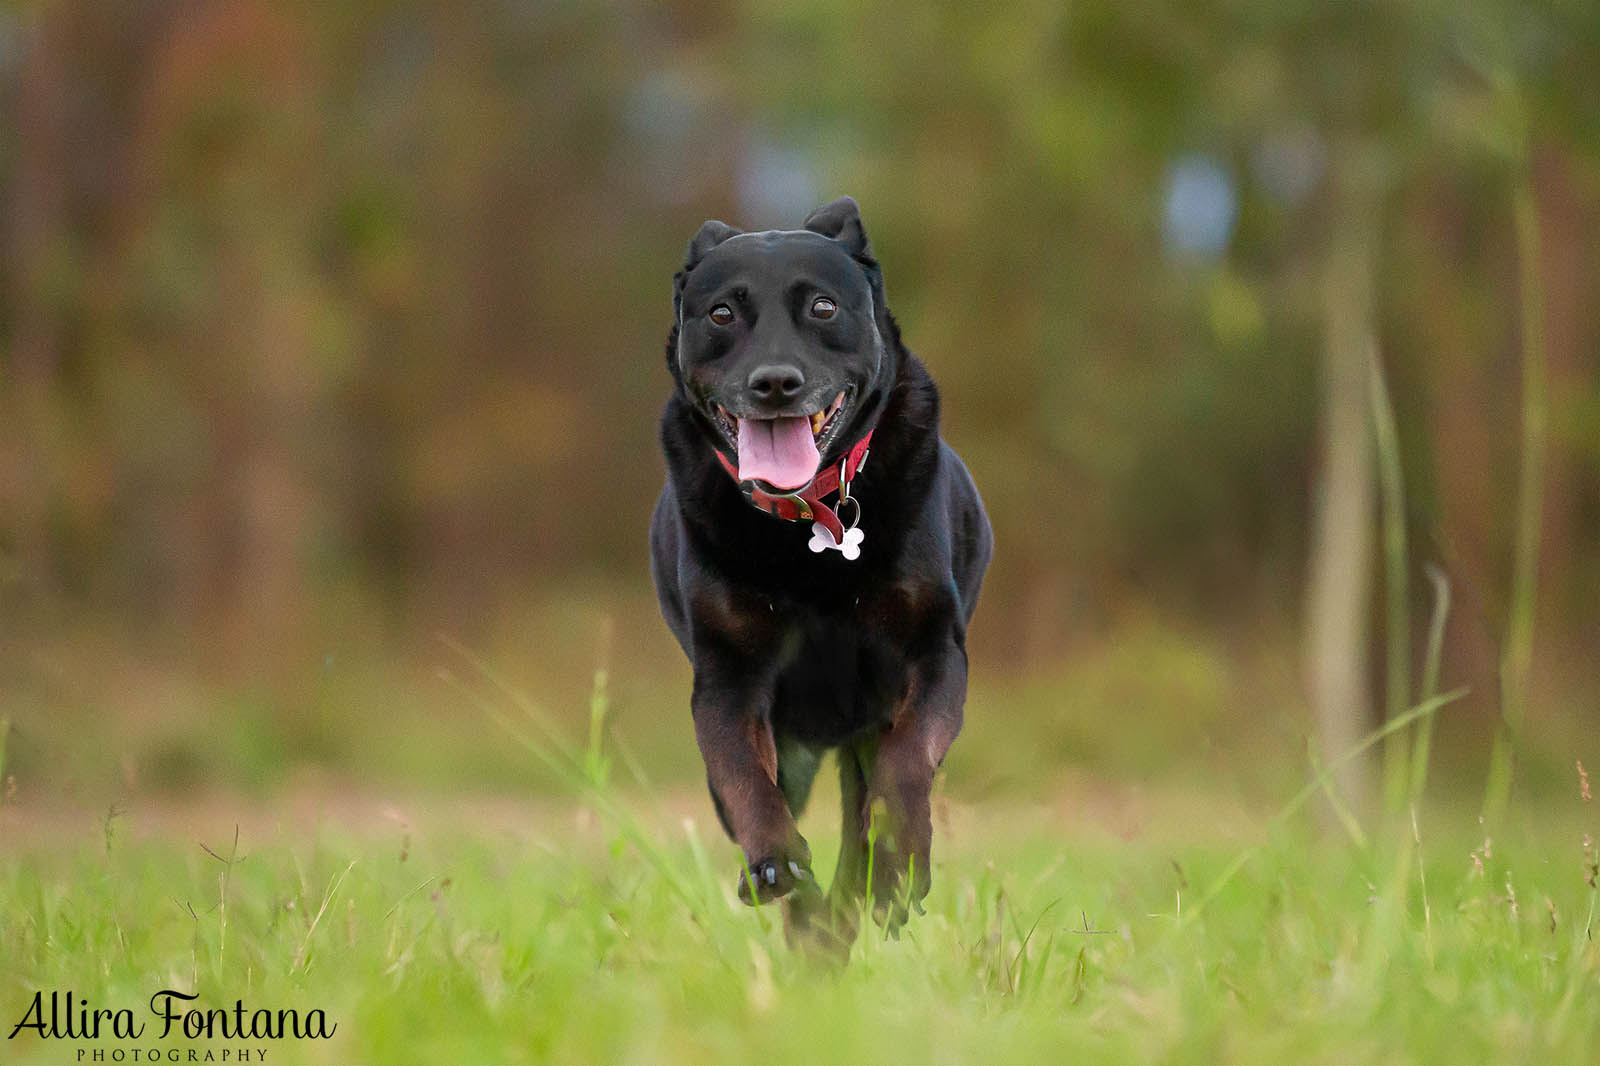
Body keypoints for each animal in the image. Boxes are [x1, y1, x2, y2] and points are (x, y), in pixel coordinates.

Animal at [649, 195, 985, 941]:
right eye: (722, 313)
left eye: (824, 308)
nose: (775, 382)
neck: (809, 520)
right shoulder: (729, 679)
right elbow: (747, 781)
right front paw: (778, 864)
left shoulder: (931, 654)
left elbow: (906, 766)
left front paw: (898, 868)